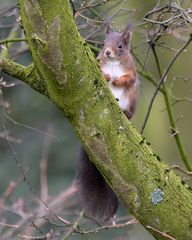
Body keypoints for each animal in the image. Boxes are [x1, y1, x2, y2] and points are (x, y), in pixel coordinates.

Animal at [76, 25, 136, 222]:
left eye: (120, 46)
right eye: (103, 44)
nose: (107, 52)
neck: (113, 63)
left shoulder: (131, 69)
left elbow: (130, 78)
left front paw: (117, 80)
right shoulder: (99, 63)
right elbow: (102, 71)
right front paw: (107, 75)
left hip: (130, 98)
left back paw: (125, 113)